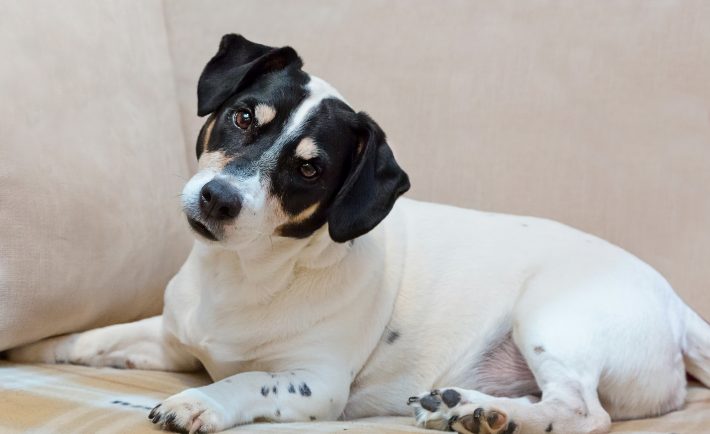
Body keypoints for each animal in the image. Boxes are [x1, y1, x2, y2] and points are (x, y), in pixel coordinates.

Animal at [6, 35, 710, 434]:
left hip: (551, 319)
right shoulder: (173, 339)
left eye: (309, 169)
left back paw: (484, 413)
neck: (243, 277)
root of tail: (677, 305)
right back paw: (466, 407)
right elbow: (97, 340)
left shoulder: (315, 383)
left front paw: (199, 403)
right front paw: (42, 345)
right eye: (242, 117)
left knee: (582, 412)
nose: (218, 198)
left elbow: (241, 382)